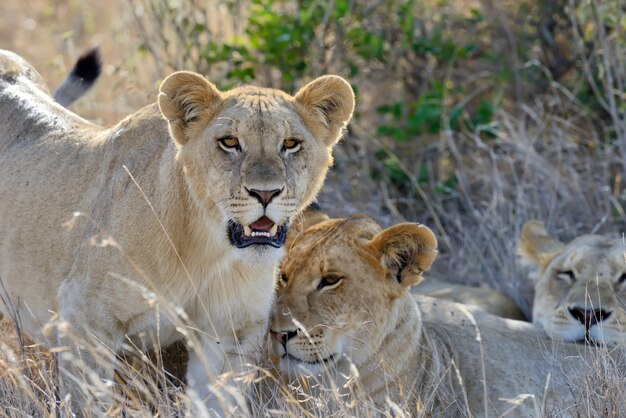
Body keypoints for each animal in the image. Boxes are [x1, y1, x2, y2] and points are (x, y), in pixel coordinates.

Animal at [0, 50, 352, 414]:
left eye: (291, 144)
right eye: (229, 142)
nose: (266, 193)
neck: (206, 250)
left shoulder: (228, 335)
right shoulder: (84, 319)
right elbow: (89, 404)